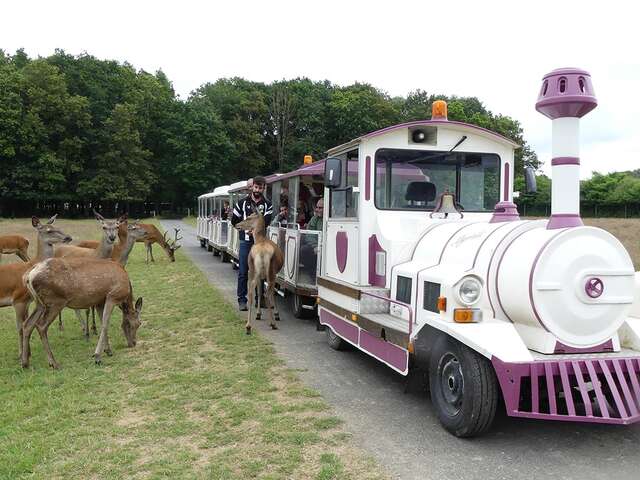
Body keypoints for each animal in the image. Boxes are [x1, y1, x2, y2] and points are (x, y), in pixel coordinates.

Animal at [0, 217, 72, 356]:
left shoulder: (27, 301)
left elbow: (28, 325)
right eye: (49, 230)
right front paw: (21, 354)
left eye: (57, 227)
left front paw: (28, 352)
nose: (68, 237)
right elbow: (20, 327)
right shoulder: (18, 299)